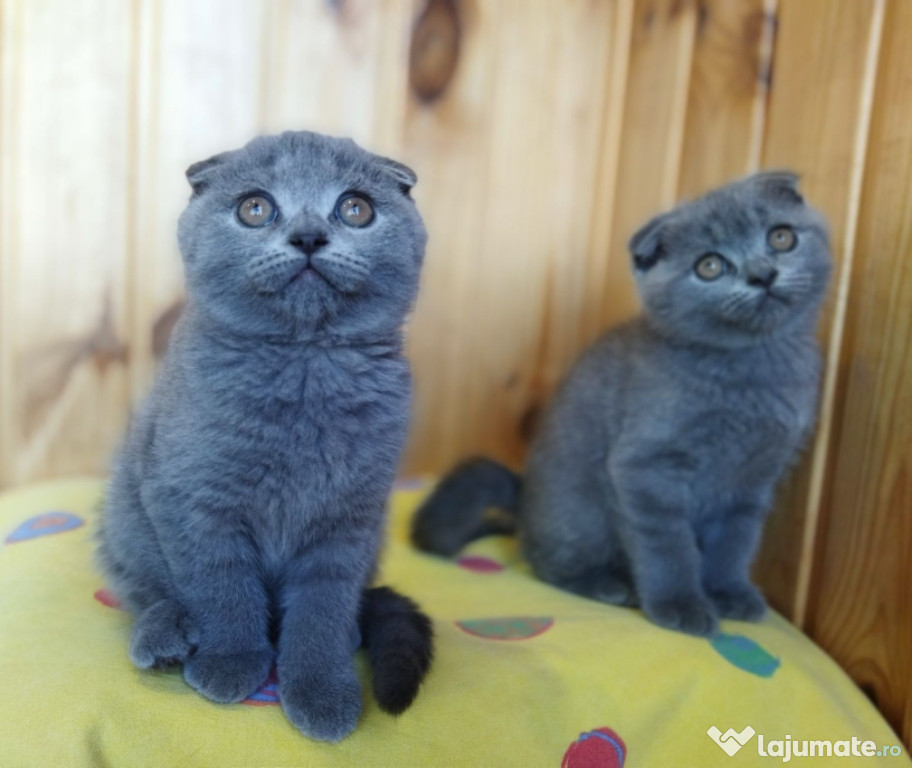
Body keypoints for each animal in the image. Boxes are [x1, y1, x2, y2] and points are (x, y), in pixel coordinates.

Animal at [98, 129, 432, 740]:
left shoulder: (348, 523)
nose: (308, 236)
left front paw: (321, 689)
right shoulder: (198, 504)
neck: (303, 366)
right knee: (146, 588)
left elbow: (322, 609)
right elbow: (223, 587)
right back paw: (166, 635)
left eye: (356, 208)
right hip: (122, 514)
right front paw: (231, 662)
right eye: (255, 208)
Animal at [414, 172, 832, 636]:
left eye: (781, 237)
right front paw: (681, 604)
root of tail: (524, 493)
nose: (762, 274)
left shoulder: (751, 482)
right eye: (709, 266)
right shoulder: (646, 467)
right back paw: (606, 584)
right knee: (546, 561)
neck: (754, 367)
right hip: (579, 513)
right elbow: (668, 544)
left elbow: (734, 543)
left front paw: (728, 592)